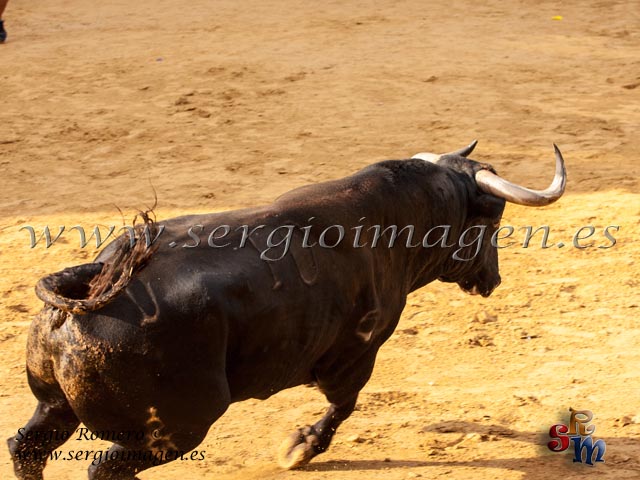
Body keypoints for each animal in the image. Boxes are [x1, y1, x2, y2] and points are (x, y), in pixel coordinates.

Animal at [8, 141, 566, 479]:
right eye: (492, 222)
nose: (493, 279)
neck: (394, 223)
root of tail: (96, 276)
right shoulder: (355, 356)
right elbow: (344, 406)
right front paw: (300, 447)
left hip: (54, 404)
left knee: (26, 447)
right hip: (177, 429)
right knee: (104, 466)